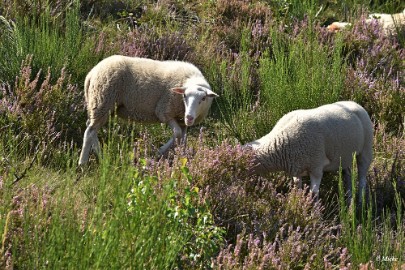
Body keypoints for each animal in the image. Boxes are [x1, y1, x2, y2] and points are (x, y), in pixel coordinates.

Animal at [78, 54, 218, 165]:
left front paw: (181, 157)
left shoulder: (181, 120)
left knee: (92, 128)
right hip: (103, 100)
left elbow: (182, 139)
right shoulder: (164, 111)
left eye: (203, 98)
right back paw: (83, 161)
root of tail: (92, 73)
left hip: (100, 104)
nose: (189, 117)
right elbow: (177, 133)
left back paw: (100, 154)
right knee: (90, 131)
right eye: (184, 96)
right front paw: (159, 151)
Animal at [243, 100, 372, 199]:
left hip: (366, 149)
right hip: (346, 156)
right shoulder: (296, 168)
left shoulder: (316, 166)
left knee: (362, 179)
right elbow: (297, 187)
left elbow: (314, 194)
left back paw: (360, 202)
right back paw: (349, 200)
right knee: (348, 175)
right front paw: (296, 202)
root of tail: (354, 103)